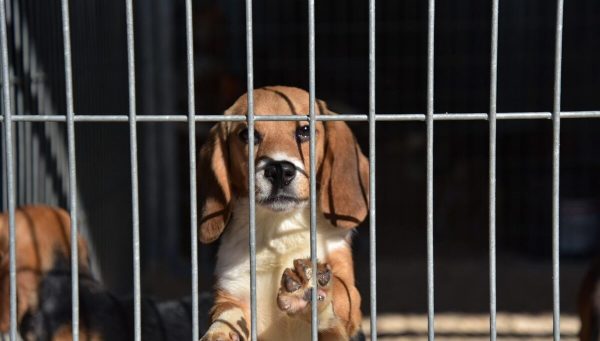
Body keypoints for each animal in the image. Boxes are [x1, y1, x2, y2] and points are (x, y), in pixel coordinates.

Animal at [199, 85, 368, 340]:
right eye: (247, 134)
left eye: (305, 131)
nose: (279, 170)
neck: (279, 228)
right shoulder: (233, 291)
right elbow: (227, 314)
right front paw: (219, 332)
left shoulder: (350, 297)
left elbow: (339, 290)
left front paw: (309, 289)